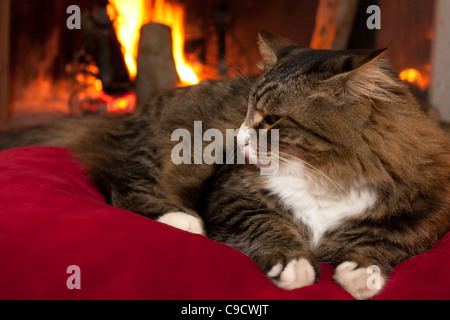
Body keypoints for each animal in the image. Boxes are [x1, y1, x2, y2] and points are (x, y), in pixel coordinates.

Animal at [0, 31, 450, 298]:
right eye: (248, 111)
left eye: (271, 119)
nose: (239, 138)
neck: (326, 174)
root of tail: (127, 117)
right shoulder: (235, 194)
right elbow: (271, 227)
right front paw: (295, 264)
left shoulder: (425, 213)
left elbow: (382, 240)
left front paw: (361, 272)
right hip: (169, 149)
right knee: (124, 180)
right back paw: (181, 220)